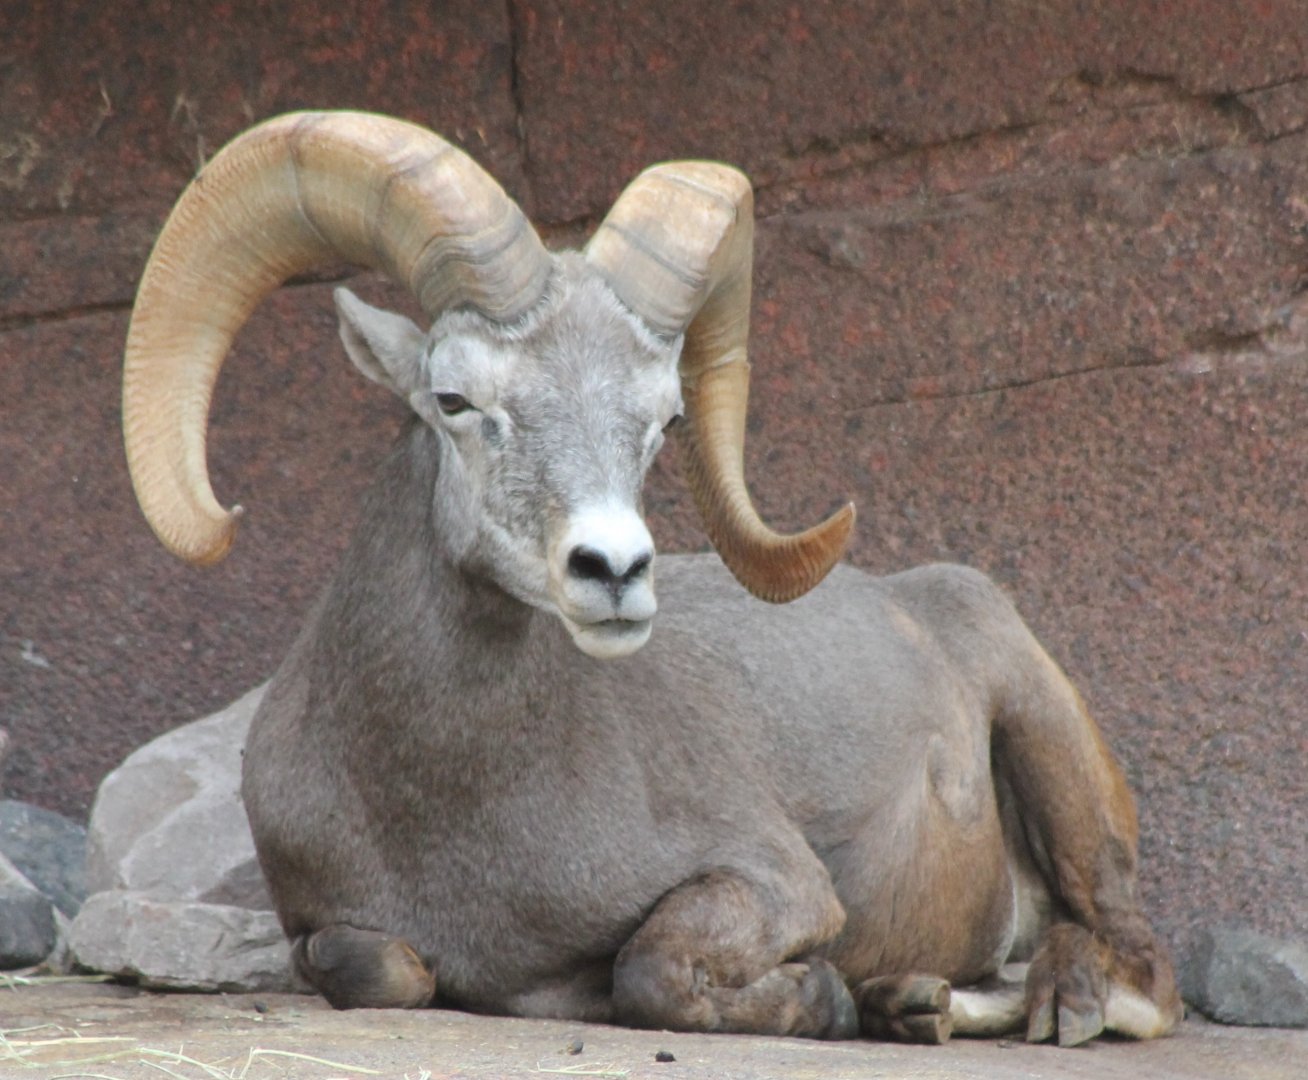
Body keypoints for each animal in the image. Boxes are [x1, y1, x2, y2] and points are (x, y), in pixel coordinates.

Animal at [122, 110, 1182, 1046]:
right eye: (453, 398)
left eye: (664, 418)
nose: (615, 569)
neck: (444, 806)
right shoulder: (321, 927)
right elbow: (379, 967)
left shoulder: (777, 883)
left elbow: (652, 970)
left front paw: (822, 997)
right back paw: (907, 1003)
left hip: (1055, 758)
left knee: (1139, 972)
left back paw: (1049, 1004)